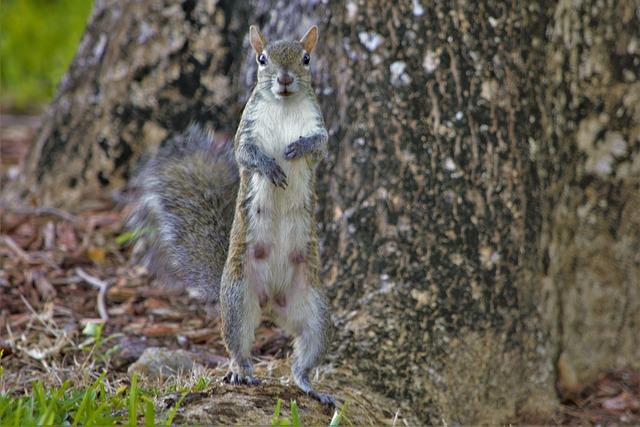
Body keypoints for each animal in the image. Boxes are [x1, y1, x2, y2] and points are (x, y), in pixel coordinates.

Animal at [132, 25, 338, 406]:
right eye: (262, 59)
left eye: (306, 58)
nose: (284, 79)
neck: (284, 106)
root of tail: (272, 305)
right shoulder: (247, 130)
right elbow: (245, 154)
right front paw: (270, 167)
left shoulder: (318, 128)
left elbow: (319, 144)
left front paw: (297, 147)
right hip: (238, 299)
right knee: (237, 345)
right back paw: (240, 372)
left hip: (315, 310)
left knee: (304, 356)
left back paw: (310, 386)